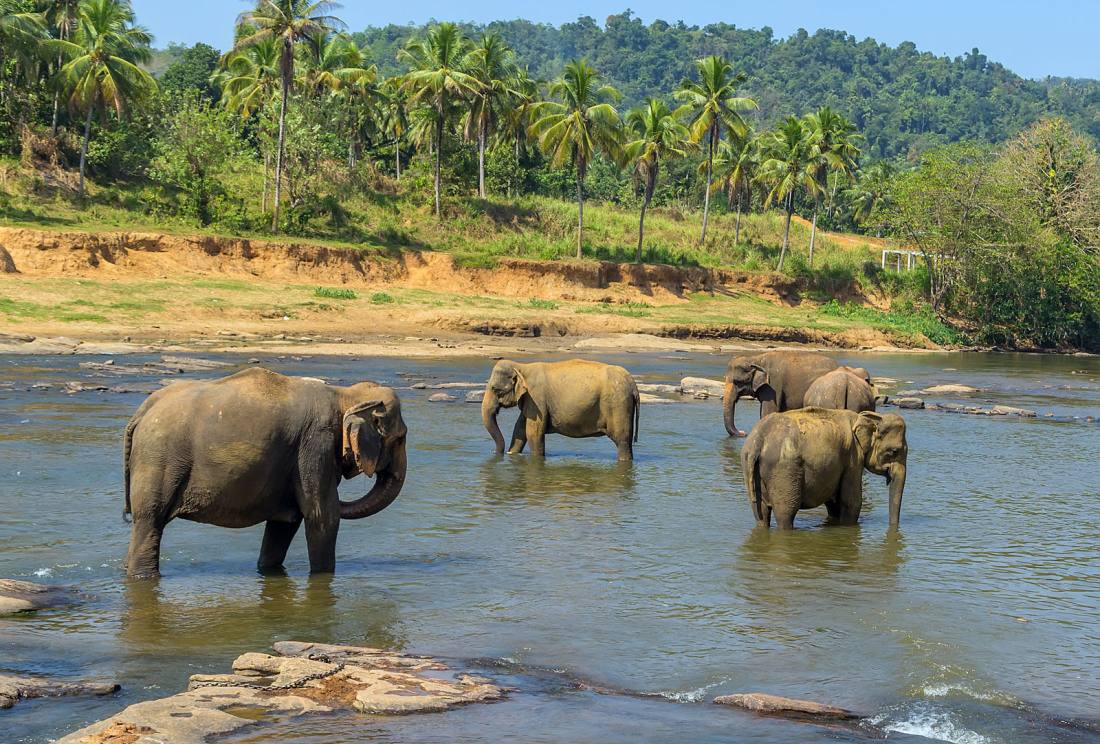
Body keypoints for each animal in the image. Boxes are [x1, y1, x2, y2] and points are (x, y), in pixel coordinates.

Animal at [122, 367, 408, 578]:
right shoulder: (316, 444)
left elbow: (285, 522)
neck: (343, 394)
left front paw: (268, 571)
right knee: (150, 521)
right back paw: (144, 577)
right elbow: (322, 515)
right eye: (400, 438)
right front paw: (323, 577)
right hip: (159, 460)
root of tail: (142, 411)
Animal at [481, 359, 640, 460]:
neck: (521, 367)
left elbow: (533, 433)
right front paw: (513, 454)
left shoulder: (536, 398)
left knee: (622, 441)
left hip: (618, 405)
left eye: (495, 389)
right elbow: (519, 430)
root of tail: (633, 385)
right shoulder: (530, 401)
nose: (497, 452)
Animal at [740, 408, 908, 529]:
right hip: (784, 470)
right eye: (894, 451)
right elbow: (851, 501)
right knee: (786, 513)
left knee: (760, 512)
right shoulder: (853, 458)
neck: (866, 417)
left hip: (749, 466)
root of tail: (759, 440)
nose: (893, 528)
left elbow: (834, 503)